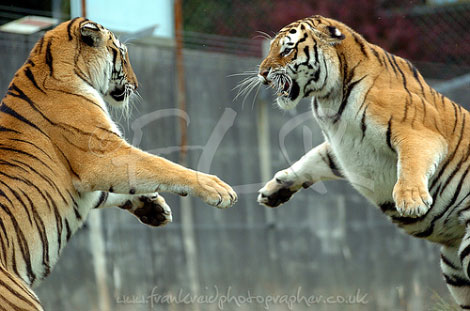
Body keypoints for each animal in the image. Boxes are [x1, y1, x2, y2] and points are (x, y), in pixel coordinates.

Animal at [0, 17, 237, 311]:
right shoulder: (102, 155)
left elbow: (114, 192)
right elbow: (159, 164)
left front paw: (154, 209)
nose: (138, 84)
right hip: (18, 299)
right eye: (122, 55)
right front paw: (217, 188)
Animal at [252, 15, 470, 310]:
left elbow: (410, 162)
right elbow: (309, 160)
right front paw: (275, 189)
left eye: (286, 50)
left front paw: (411, 201)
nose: (262, 73)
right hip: (454, 267)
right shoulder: (341, 149)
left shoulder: (419, 133)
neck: (330, 98)